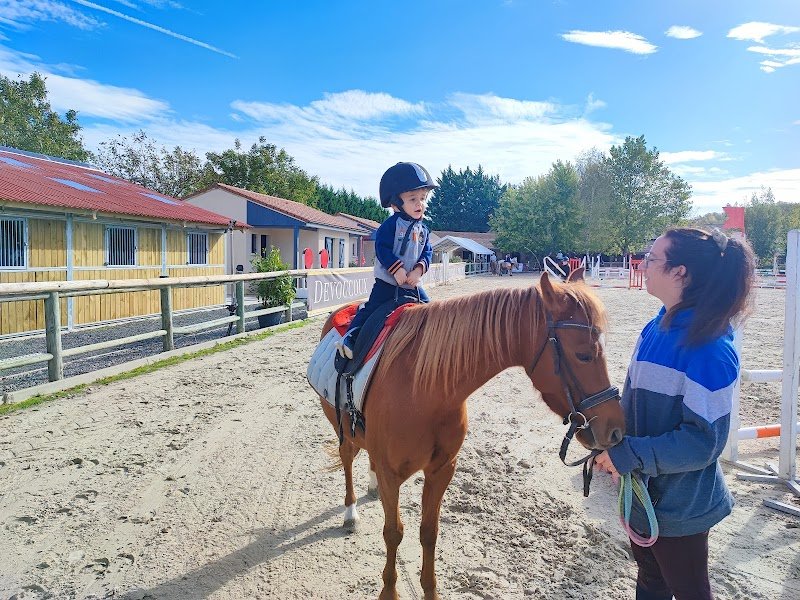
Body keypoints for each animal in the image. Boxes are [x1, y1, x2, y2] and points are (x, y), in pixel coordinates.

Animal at [316, 269, 625, 600]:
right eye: (584, 355)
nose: (616, 429)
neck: (425, 388)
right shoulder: (391, 474)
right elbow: (393, 533)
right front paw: (389, 592)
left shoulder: (442, 470)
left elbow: (429, 531)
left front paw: (430, 591)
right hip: (343, 430)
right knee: (348, 458)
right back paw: (350, 512)